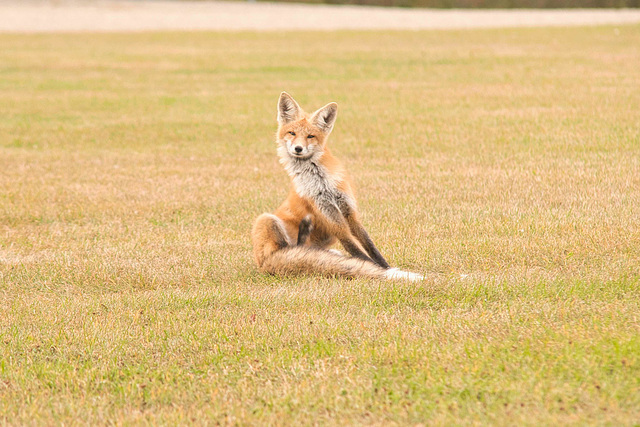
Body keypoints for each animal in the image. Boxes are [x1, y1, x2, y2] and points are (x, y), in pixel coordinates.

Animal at [251, 92, 424, 282]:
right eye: (292, 133)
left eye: (310, 136)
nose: (298, 148)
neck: (322, 183)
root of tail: (264, 265)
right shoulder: (331, 218)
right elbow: (357, 252)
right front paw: (382, 271)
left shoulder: (349, 211)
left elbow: (370, 246)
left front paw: (385, 266)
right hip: (265, 219)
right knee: (293, 250)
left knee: (303, 248)